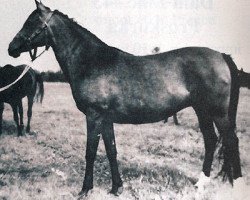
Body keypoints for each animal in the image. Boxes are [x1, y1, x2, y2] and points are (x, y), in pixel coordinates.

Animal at [8, 0, 248, 196]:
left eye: (31, 22)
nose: (12, 48)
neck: (92, 61)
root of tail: (221, 56)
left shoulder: (94, 116)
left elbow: (90, 152)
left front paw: (85, 189)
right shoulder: (106, 119)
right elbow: (111, 150)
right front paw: (117, 187)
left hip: (218, 112)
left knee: (230, 140)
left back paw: (237, 184)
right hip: (202, 110)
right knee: (211, 140)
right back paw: (200, 184)